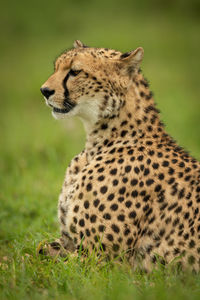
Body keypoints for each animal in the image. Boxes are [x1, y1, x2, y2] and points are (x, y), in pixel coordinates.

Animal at [39, 40, 200, 272]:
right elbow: (35, 250)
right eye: (56, 67)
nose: (45, 91)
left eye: (75, 71)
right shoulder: (69, 241)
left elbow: (41, 261)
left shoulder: (102, 259)